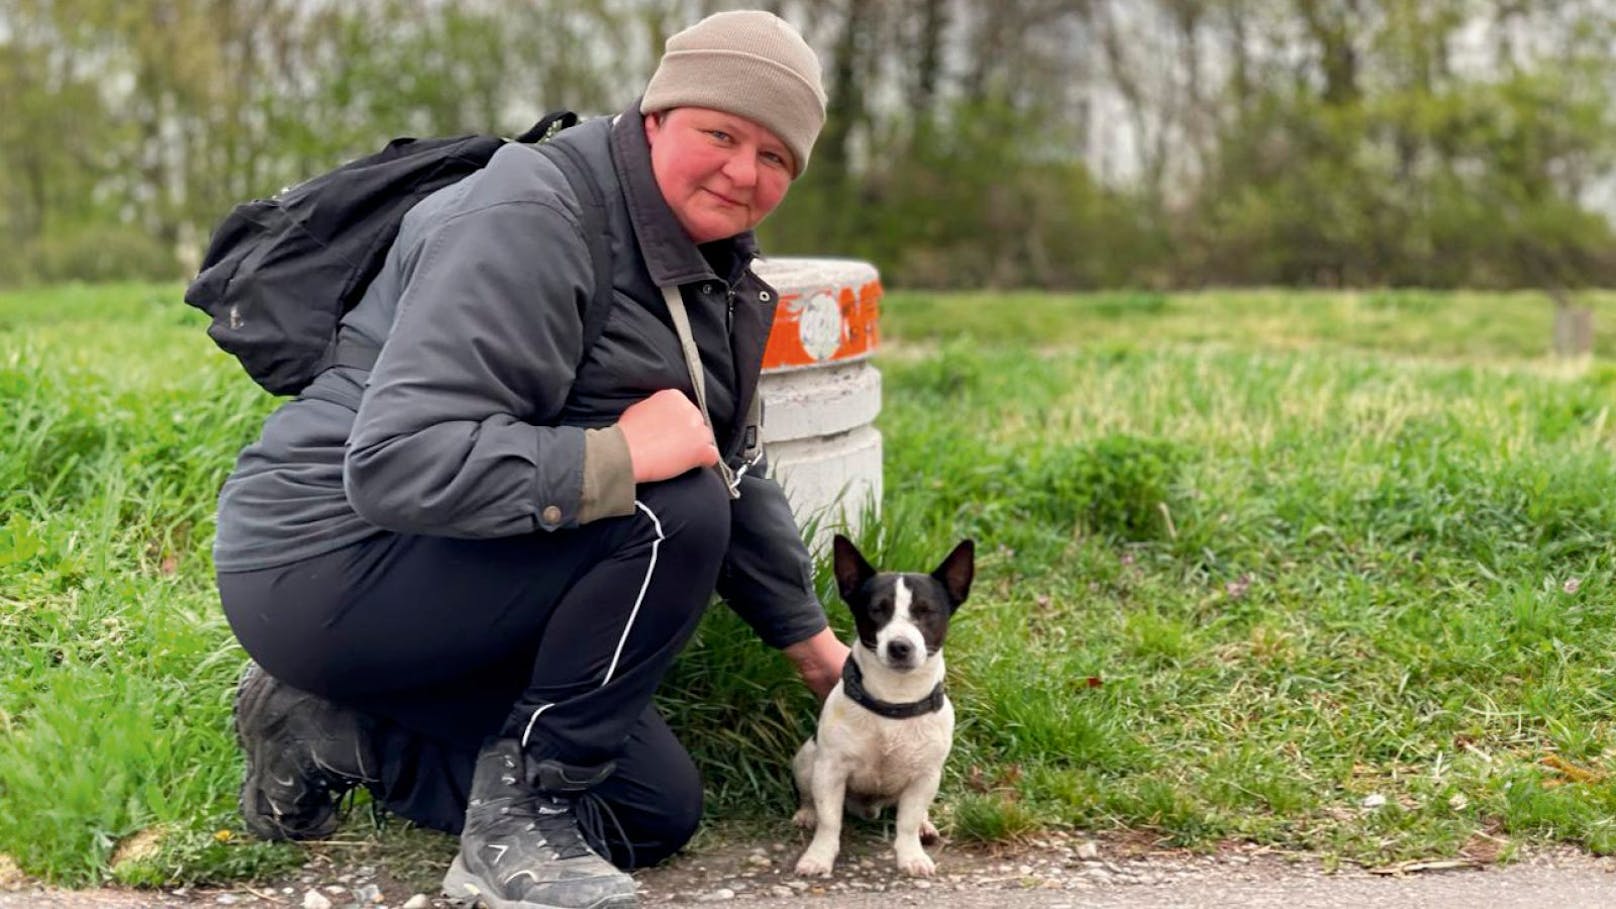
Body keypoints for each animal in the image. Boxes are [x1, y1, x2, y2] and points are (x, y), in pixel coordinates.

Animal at [791, 533, 969, 873]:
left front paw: (912, 856)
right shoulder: (830, 771)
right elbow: (829, 821)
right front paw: (818, 856)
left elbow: (907, 822)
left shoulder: (925, 777)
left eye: (926, 611)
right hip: (806, 758)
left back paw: (925, 825)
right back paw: (806, 814)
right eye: (877, 610)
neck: (894, 701)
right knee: (809, 796)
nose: (900, 646)